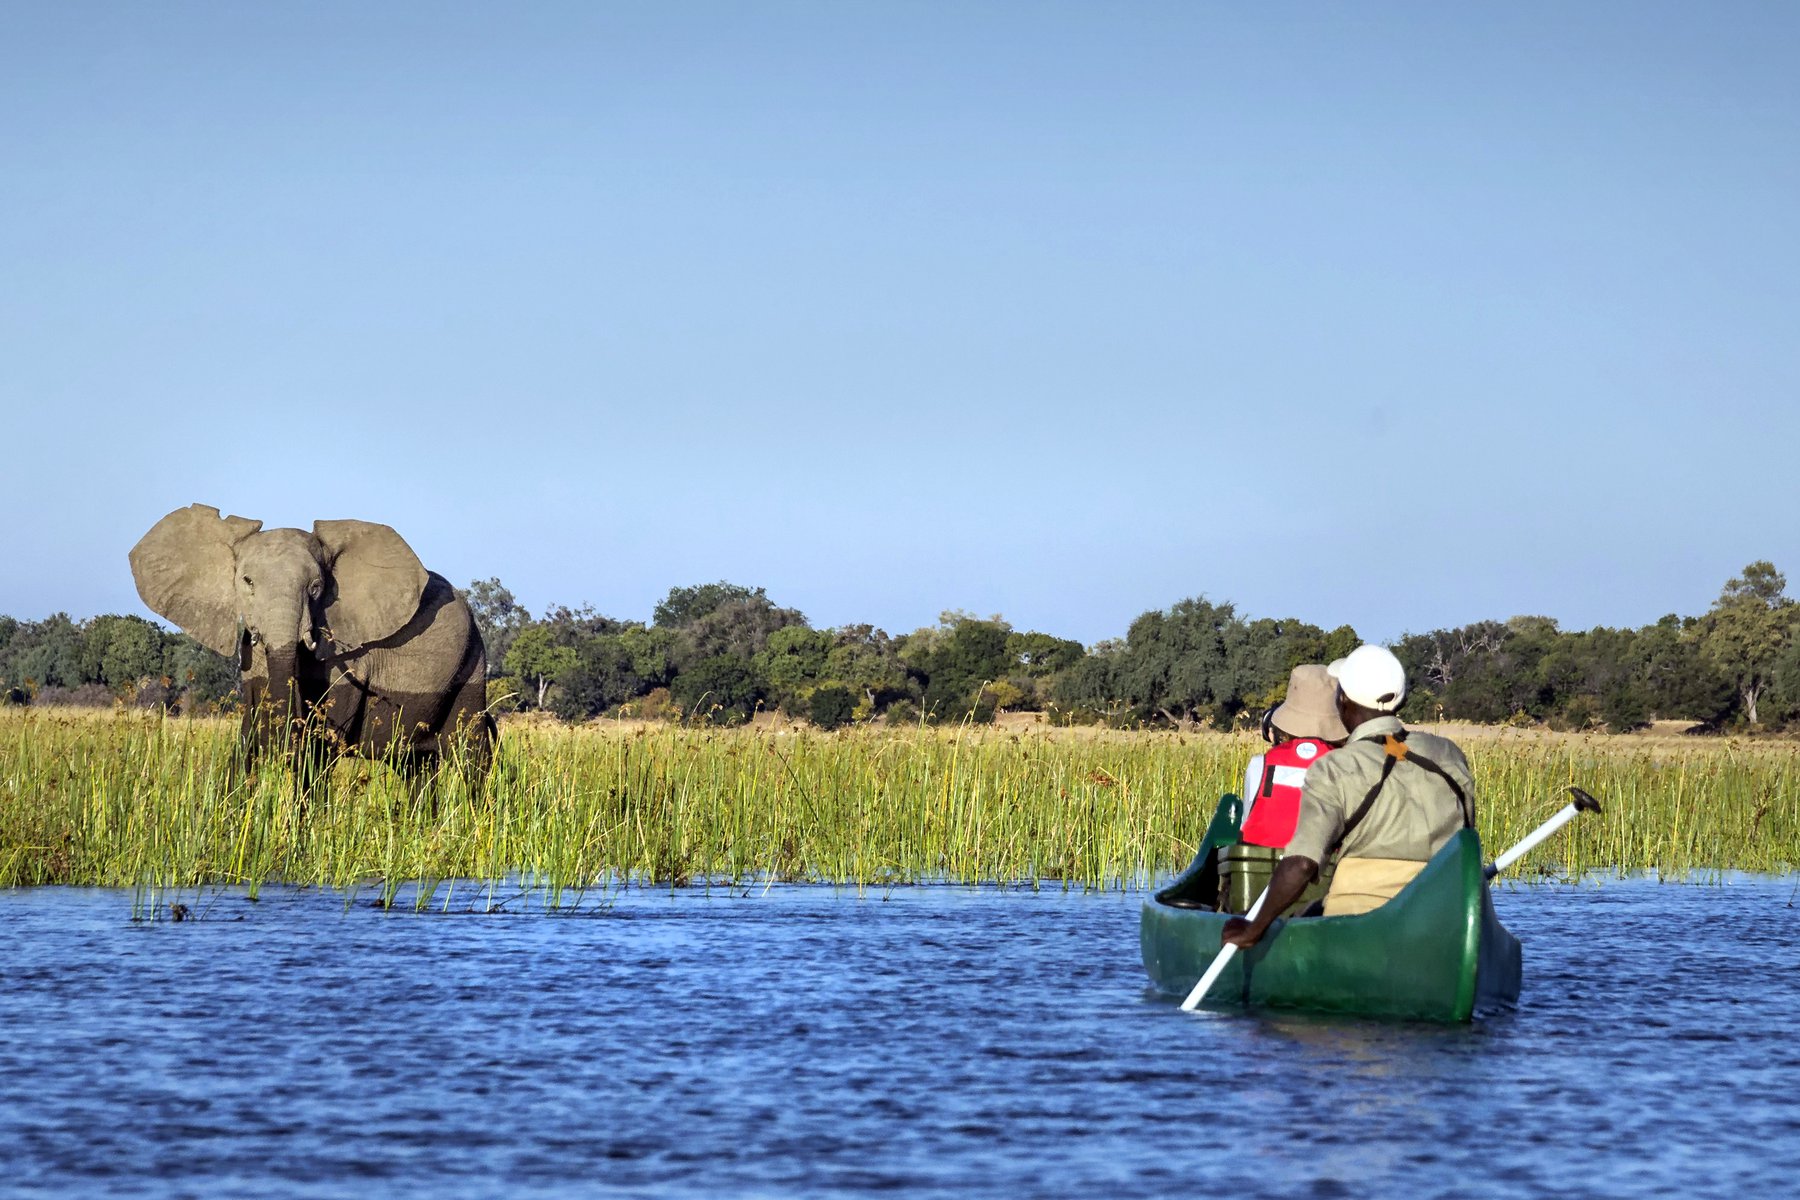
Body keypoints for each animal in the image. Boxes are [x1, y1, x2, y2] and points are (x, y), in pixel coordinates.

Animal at [127, 503, 496, 788]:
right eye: (247, 582)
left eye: (316, 587)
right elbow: (248, 736)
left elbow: (318, 755)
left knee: (471, 757)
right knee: (414, 767)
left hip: (472, 662)